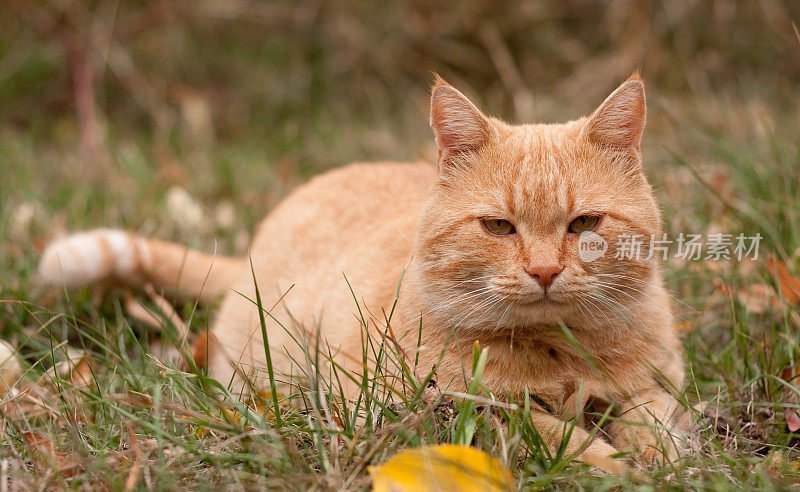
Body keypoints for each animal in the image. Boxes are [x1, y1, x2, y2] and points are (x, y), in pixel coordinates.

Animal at [37, 76, 688, 472]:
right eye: (499, 227)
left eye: (584, 224)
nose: (545, 270)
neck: (560, 351)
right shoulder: (441, 406)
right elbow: (548, 432)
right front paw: (610, 464)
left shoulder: (656, 388)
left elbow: (656, 426)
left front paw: (662, 460)